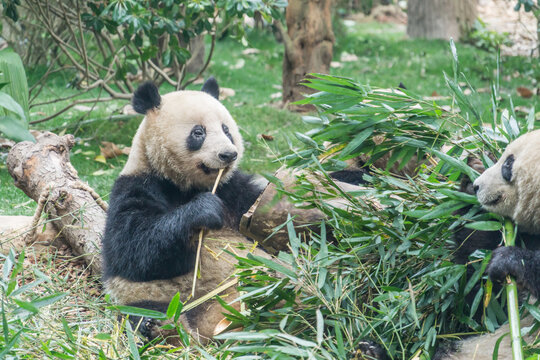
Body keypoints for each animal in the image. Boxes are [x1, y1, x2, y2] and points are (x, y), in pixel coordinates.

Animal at [100, 79, 268, 344]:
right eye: (198, 132)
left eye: (226, 130)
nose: (228, 154)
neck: (185, 186)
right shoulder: (136, 186)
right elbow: (133, 248)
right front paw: (205, 210)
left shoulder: (234, 190)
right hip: (155, 298)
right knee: (143, 313)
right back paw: (160, 327)